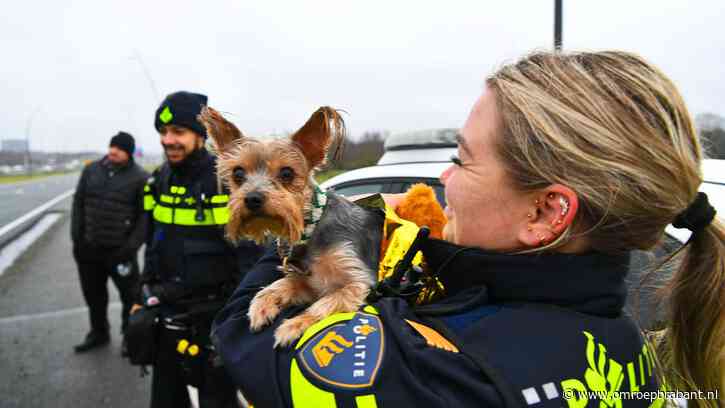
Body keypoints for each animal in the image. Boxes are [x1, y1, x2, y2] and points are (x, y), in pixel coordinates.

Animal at [195, 106, 382, 348]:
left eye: (287, 173)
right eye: (238, 173)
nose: (252, 198)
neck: (311, 230)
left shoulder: (358, 281)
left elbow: (326, 303)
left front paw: (294, 325)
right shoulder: (309, 282)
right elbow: (279, 285)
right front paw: (260, 307)